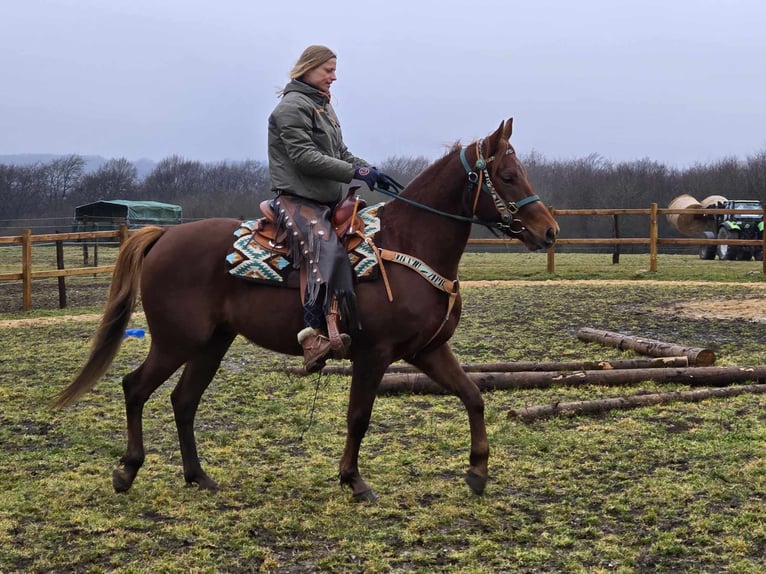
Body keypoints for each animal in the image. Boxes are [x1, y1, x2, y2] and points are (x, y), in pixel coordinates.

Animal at [52, 118, 560, 504]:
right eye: (508, 176)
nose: (550, 231)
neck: (409, 243)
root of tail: (164, 236)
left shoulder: (427, 351)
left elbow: (473, 395)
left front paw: (477, 473)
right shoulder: (374, 354)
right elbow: (359, 417)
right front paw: (354, 481)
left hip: (212, 343)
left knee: (183, 400)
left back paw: (198, 476)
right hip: (177, 341)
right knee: (135, 387)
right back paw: (127, 471)